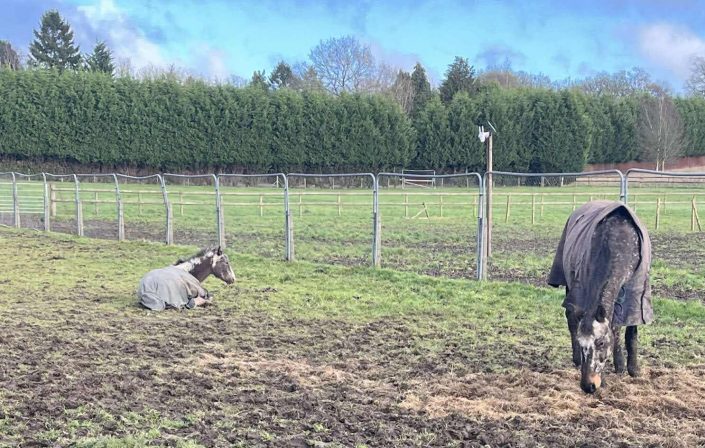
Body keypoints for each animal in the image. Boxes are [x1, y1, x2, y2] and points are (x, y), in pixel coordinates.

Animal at [547, 200, 653, 394]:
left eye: (601, 343)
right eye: (582, 344)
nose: (588, 386)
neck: (619, 242)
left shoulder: (636, 294)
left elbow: (627, 331)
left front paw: (631, 369)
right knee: (571, 319)